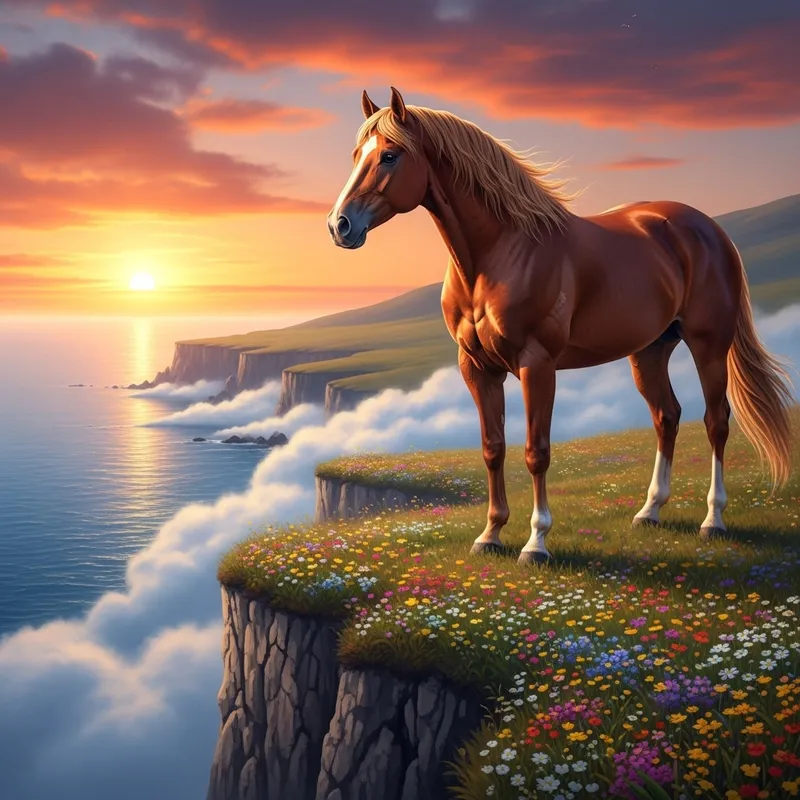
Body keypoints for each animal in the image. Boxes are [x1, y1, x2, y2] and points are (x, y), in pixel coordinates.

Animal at [327, 87, 794, 565]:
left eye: (389, 155)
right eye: (356, 155)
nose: (339, 225)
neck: (499, 255)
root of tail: (711, 230)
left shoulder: (537, 365)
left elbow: (537, 452)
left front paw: (536, 543)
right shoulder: (477, 368)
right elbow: (492, 448)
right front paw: (490, 534)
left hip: (708, 345)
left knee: (716, 421)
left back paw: (712, 520)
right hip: (650, 351)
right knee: (667, 416)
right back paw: (649, 512)